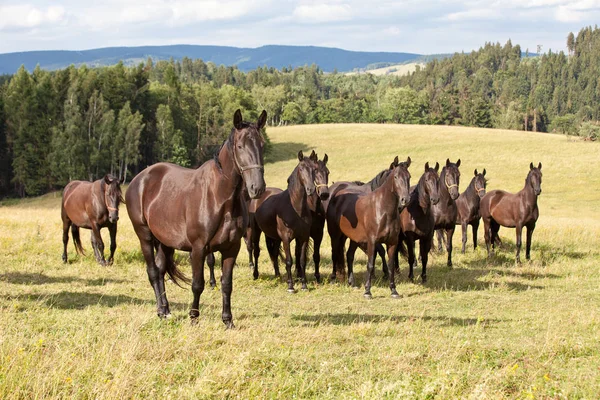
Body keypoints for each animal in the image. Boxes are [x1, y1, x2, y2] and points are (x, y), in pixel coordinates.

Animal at [126, 109, 268, 328]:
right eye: (240, 146)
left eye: (262, 144)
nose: (257, 188)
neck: (220, 197)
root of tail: (138, 180)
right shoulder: (199, 248)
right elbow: (197, 284)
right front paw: (193, 317)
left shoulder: (232, 248)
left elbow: (227, 284)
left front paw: (228, 320)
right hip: (145, 236)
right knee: (153, 272)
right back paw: (161, 311)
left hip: (165, 241)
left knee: (160, 270)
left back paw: (166, 310)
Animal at [250, 152, 330, 292]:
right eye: (301, 169)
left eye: (327, 172)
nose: (311, 189)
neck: (295, 207)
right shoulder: (286, 238)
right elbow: (289, 261)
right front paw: (291, 286)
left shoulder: (305, 236)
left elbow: (303, 259)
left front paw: (304, 284)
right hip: (256, 231)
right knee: (256, 252)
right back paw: (256, 275)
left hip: (275, 237)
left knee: (274, 253)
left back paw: (278, 276)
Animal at [326, 158, 410, 298]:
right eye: (396, 177)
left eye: (409, 177)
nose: (405, 200)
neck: (383, 210)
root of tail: (336, 195)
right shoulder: (372, 241)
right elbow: (370, 264)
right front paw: (367, 291)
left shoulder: (392, 242)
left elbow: (391, 265)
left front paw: (393, 291)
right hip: (335, 235)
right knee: (335, 254)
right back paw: (333, 279)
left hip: (354, 238)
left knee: (349, 255)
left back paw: (352, 282)